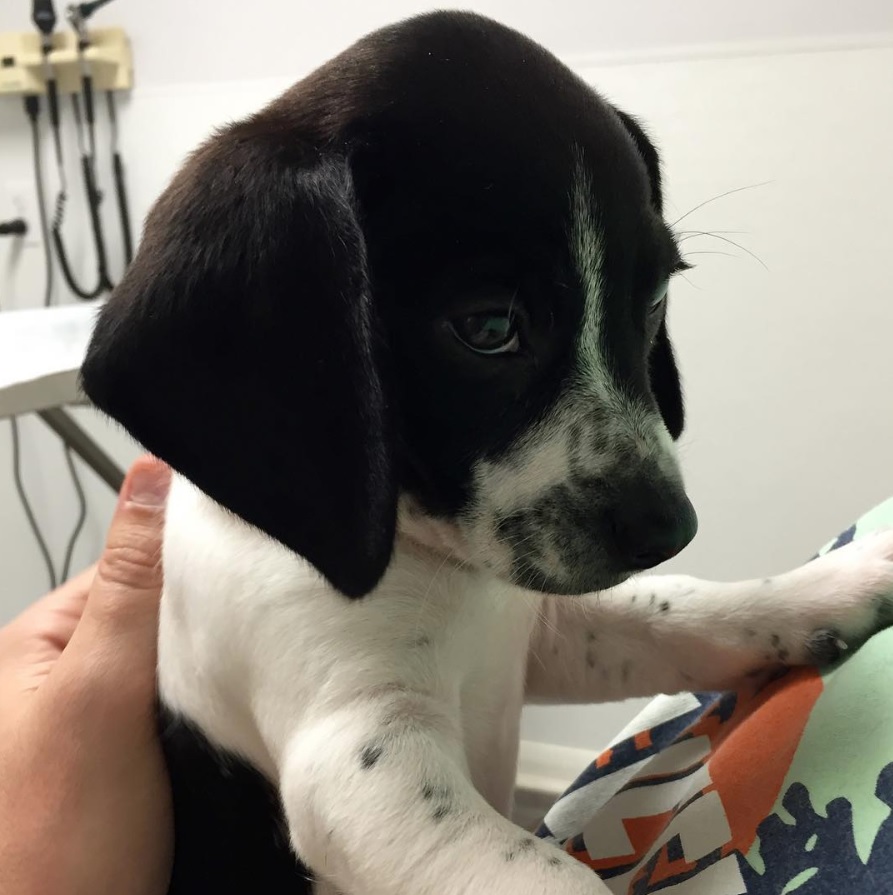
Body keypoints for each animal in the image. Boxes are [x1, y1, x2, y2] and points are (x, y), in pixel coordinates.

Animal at [80, 8, 892, 895]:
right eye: (488, 328)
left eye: (653, 301)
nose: (669, 527)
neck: (436, 566)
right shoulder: (361, 756)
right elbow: (548, 873)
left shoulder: (544, 635)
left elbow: (682, 609)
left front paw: (835, 584)